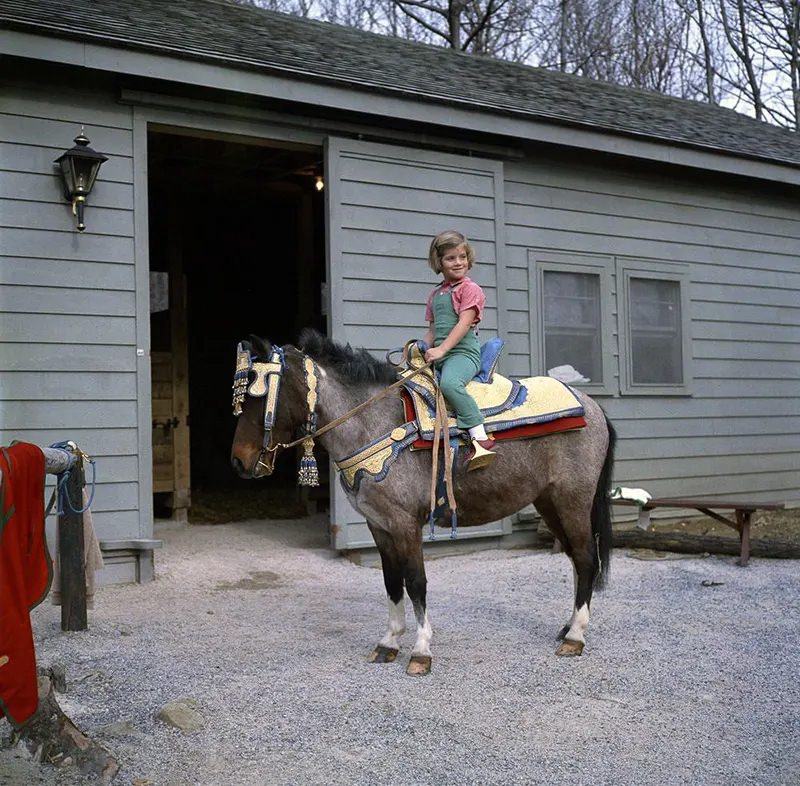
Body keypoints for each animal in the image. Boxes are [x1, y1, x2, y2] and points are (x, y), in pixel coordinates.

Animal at [231, 330, 620, 672]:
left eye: (259, 397)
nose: (238, 461)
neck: (373, 423)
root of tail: (592, 406)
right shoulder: (379, 525)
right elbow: (392, 582)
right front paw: (388, 644)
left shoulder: (405, 524)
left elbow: (416, 581)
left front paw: (420, 651)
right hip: (549, 502)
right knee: (576, 558)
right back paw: (568, 626)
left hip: (573, 499)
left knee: (587, 558)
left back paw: (575, 638)